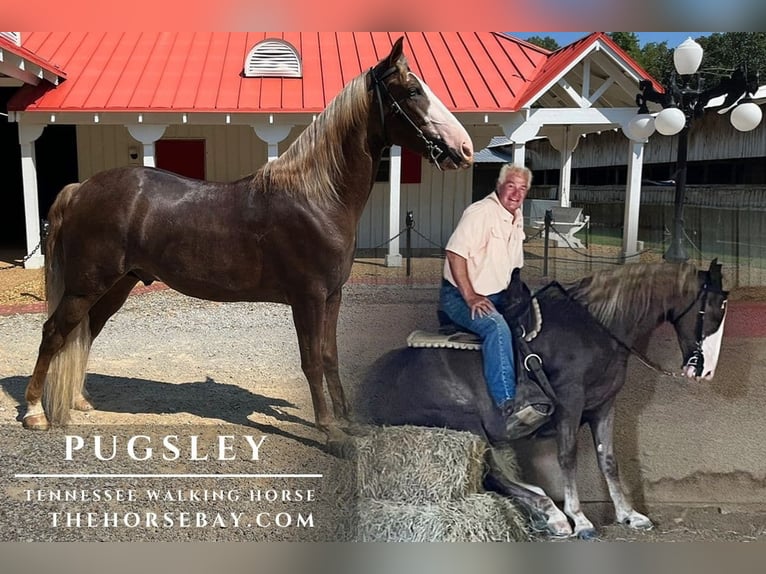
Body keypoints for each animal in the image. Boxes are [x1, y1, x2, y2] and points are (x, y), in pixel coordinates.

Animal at [21, 37, 474, 439]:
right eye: (413, 91)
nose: (465, 149)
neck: (317, 197)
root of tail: (80, 189)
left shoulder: (332, 296)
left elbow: (330, 357)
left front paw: (348, 422)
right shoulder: (308, 299)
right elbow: (311, 361)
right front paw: (330, 432)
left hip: (116, 285)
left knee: (85, 332)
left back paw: (79, 400)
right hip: (85, 285)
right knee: (54, 333)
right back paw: (34, 412)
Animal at [356, 260, 728, 538]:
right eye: (714, 307)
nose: (707, 371)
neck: (595, 328)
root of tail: (373, 382)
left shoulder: (604, 405)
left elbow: (608, 459)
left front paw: (629, 514)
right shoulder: (570, 403)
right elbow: (567, 457)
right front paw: (580, 519)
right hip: (464, 424)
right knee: (494, 473)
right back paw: (553, 514)